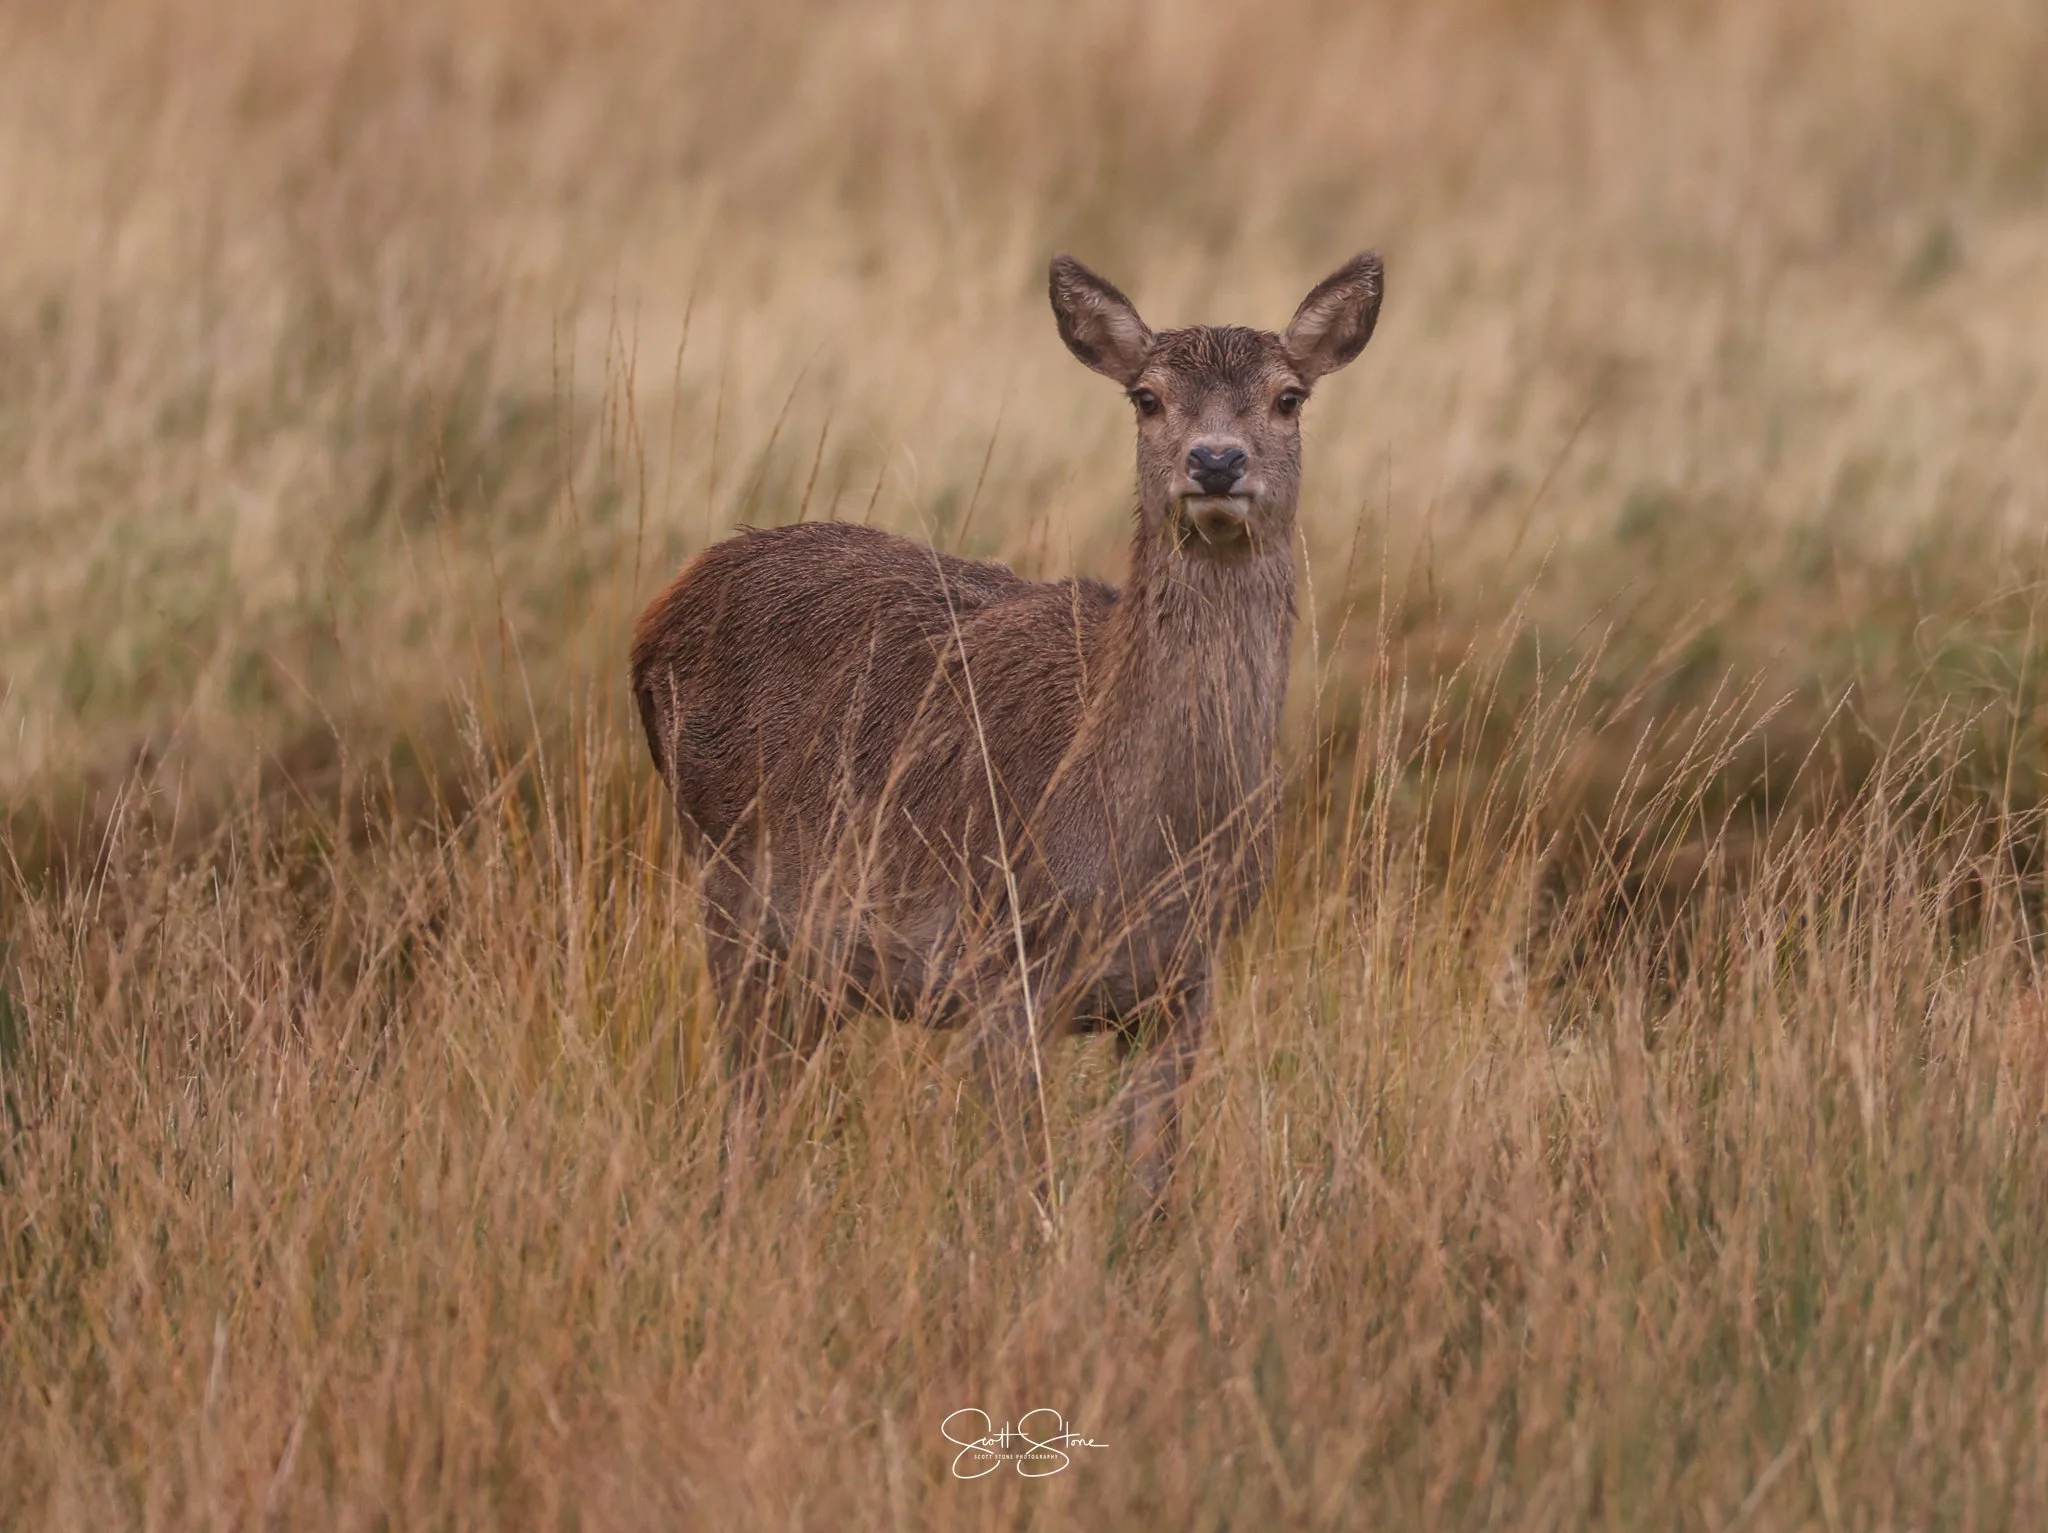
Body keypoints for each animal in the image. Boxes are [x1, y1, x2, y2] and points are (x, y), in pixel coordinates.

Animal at [631, 251, 1384, 1216]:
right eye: (1146, 397)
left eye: (1289, 396)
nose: (1216, 461)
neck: (1146, 852)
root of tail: (654, 622)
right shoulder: (1002, 962)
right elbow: (1023, 1188)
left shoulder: (1188, 982)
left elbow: (1155, 1191)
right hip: (732, 891)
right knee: (743, 1112)